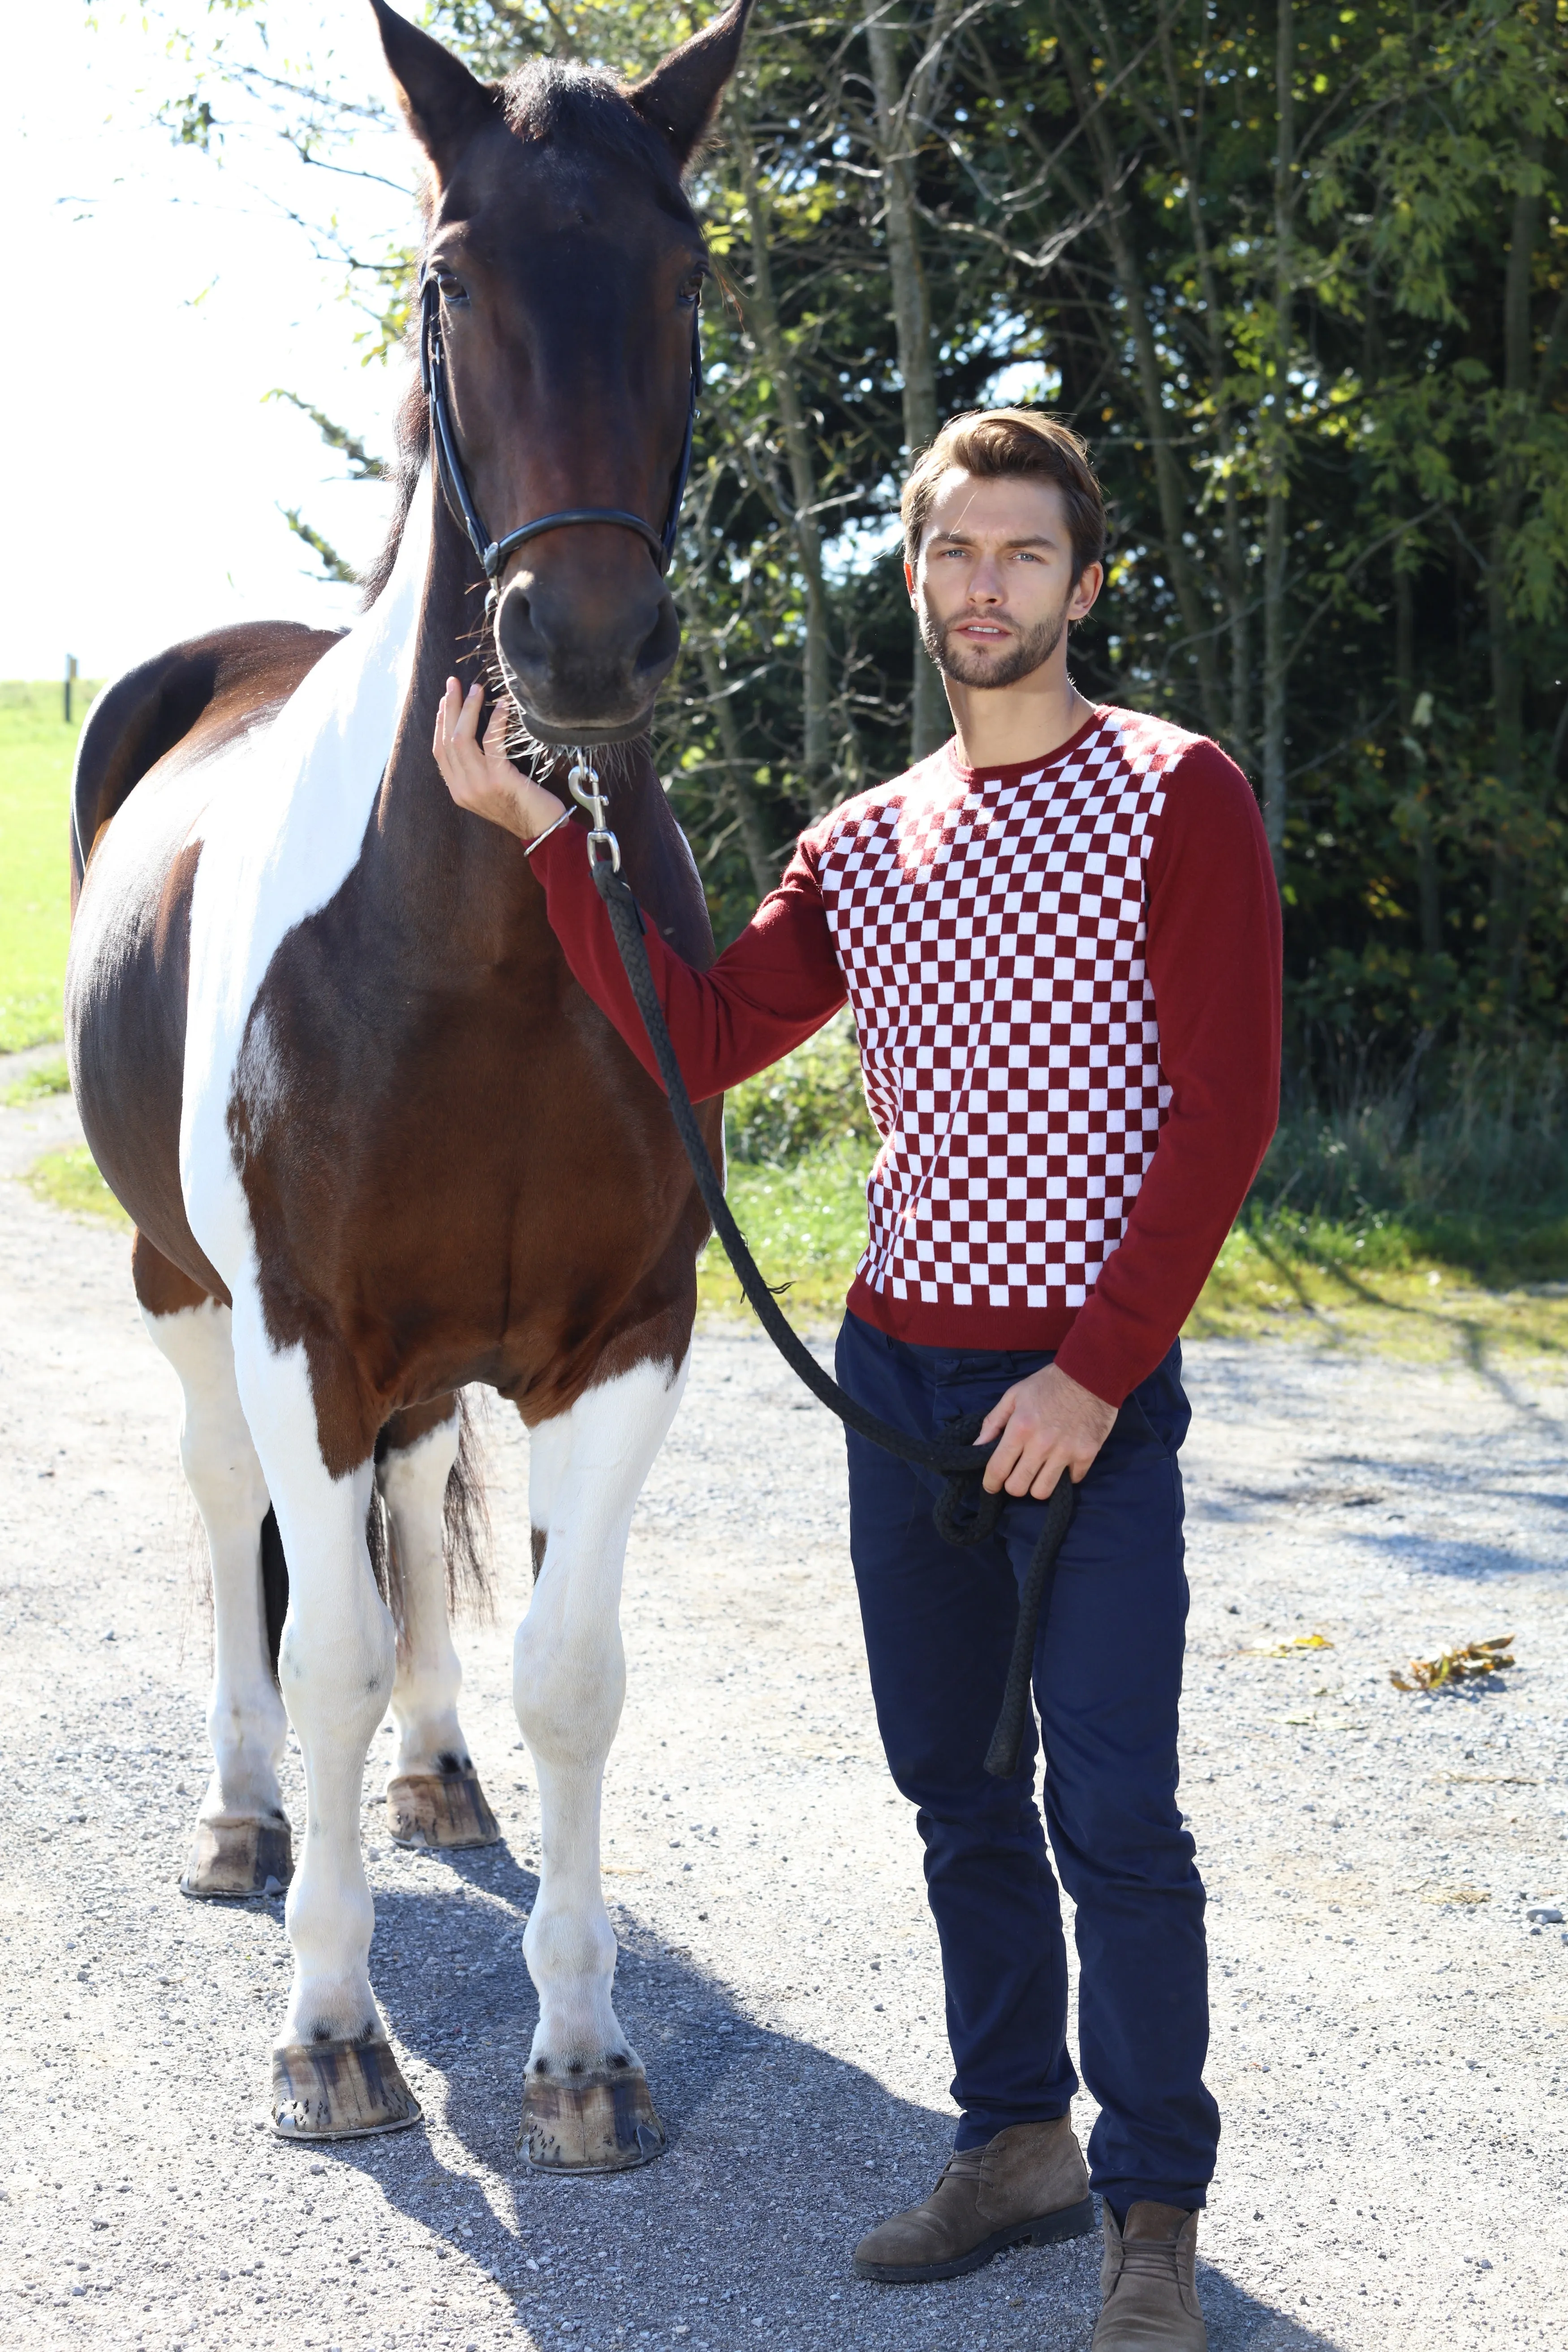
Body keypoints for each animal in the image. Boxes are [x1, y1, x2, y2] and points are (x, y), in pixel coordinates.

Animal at [70, 0, 757, 2164]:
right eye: (453, 275)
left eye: (685, 274)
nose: (582, 645)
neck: (482, 940)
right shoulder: (301, 1326)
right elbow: (329, 1651)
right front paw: (329, 2032)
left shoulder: (629, 1335)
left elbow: (569, 1670)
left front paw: (583, 2049)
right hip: (185, 1289)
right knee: (237, 1523)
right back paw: (239, 1818)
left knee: (416, 1493)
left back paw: (441, 1782)